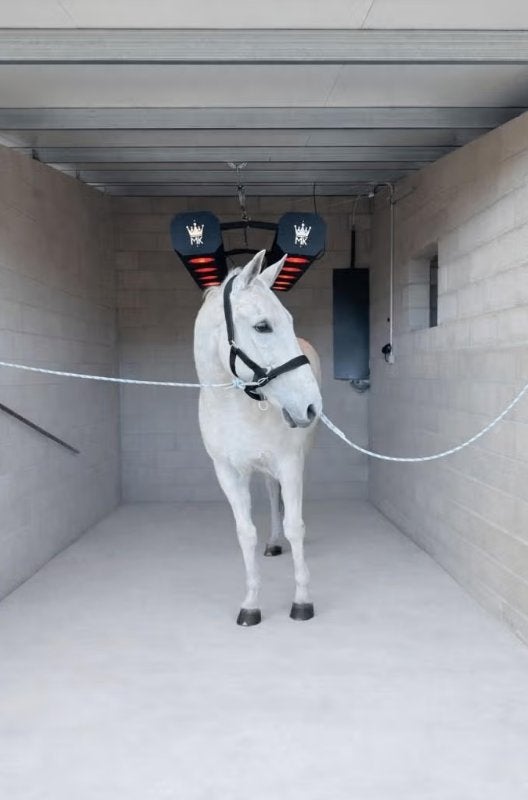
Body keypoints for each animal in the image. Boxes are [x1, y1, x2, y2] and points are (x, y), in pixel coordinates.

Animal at [193, 250, 322, 626]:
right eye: (262, 326)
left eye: (289, 321)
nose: (311, 406)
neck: (237, 408)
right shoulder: (228, 474)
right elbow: (245, 532)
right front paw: (250, 603)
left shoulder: (290, 465)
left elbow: (296, 525)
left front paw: (302, 601)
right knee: (270, 493)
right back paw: (274, 542)